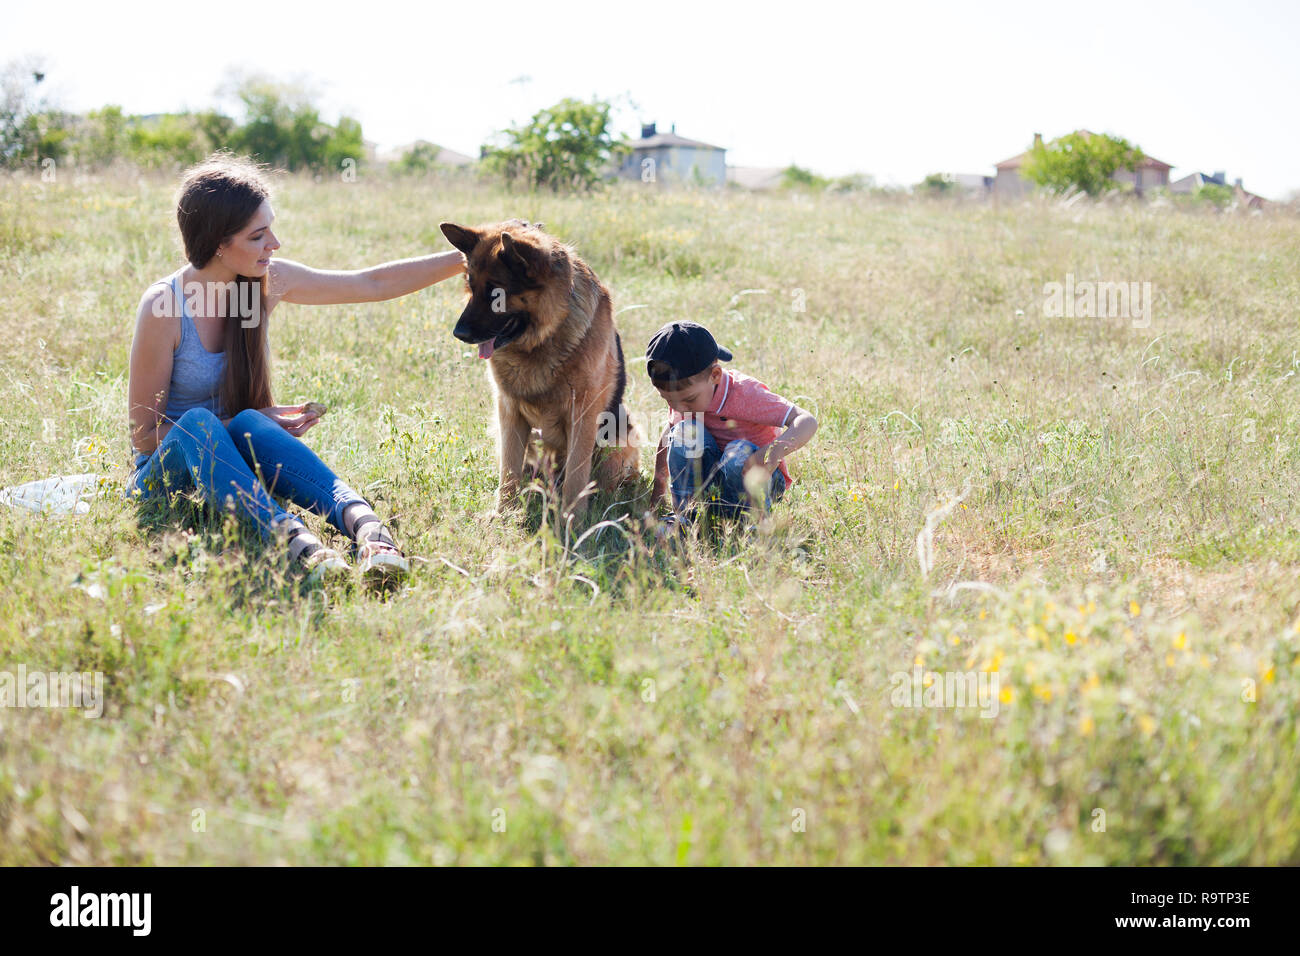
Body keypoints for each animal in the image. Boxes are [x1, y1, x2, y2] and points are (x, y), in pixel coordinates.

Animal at [439, 219, 637, 520]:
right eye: (471, 286)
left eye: (496, 293)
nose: (458, 334)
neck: (543, 338)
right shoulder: (508, 412)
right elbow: (508, 469)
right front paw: (503, 514)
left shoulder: (583, 416)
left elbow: (577, 476)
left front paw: (572, 520)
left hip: (620, 435)